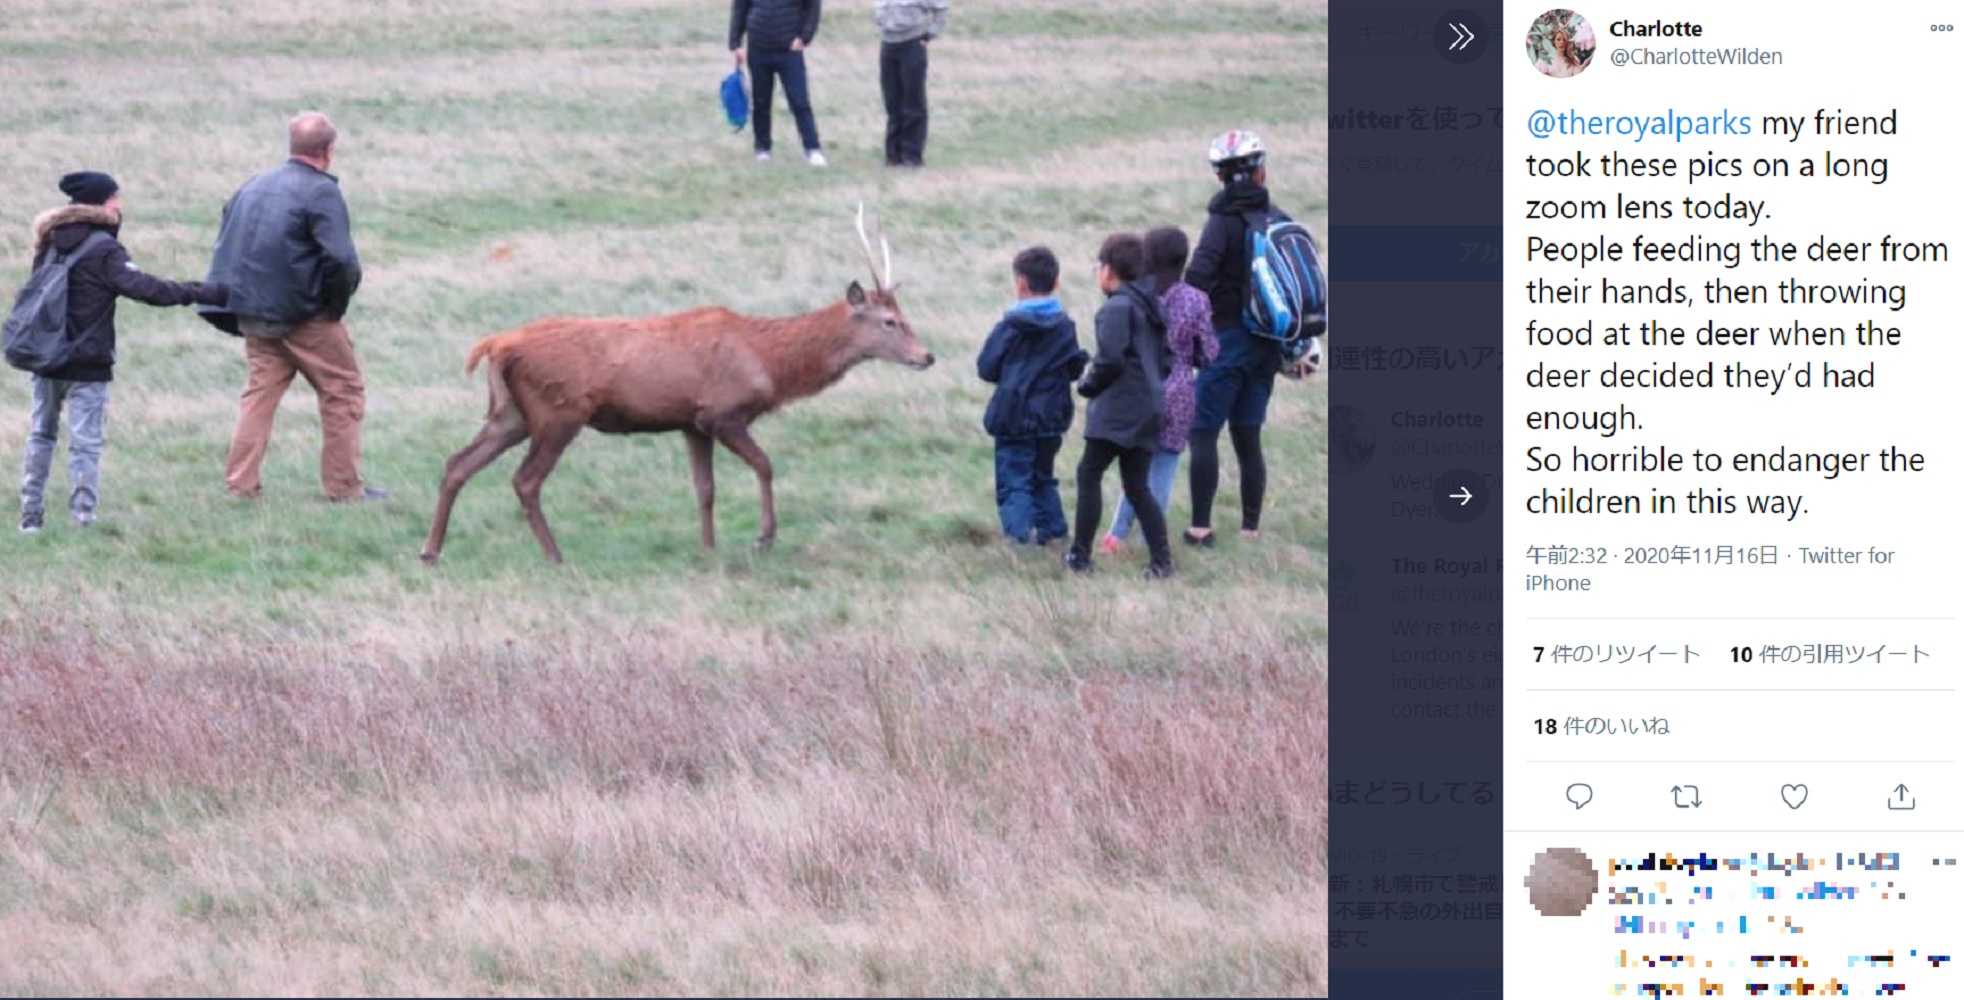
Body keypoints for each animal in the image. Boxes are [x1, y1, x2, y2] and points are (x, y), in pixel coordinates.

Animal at [416, 204, 934, 561]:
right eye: (889, 321)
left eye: (904, 315)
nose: (927, 356)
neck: (769, 361)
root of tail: (494, 345)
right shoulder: (724, 412)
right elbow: (765, 465)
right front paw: (764, 536)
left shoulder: (691, 421)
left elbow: (704, 488)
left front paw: (708, 546)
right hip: (558, 410)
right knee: (524, 480)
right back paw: (554, 553)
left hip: (510, 413)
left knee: (456, 464)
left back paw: (431, 550)